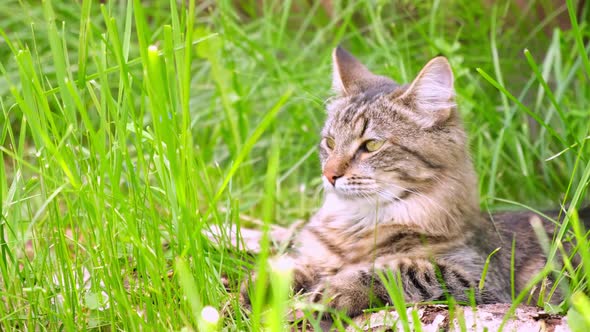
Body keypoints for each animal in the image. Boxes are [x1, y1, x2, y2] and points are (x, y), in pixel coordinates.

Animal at [243, 46, 588, 316]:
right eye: (329, 142)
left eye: (371, 145)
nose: (329, 174)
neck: (356, 225)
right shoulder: (317, 256)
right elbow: (289, 267)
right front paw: (256, 288)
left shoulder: (480, 279)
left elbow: (398, 270)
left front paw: (333, 291)